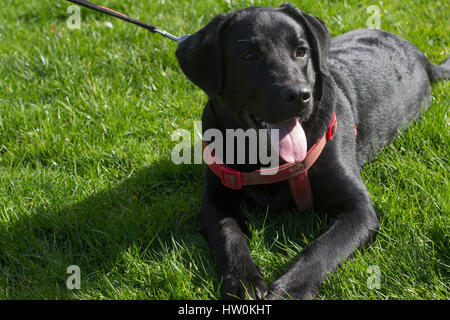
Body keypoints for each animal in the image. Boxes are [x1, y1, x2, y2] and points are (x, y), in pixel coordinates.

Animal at [175, 2, 446, 298]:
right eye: (248, 55)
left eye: (301, 51)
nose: (299, 95)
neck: (266, 157)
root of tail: (421, 56)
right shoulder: (215, 196)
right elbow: (228, 235)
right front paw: (242, 281)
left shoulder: (359, 210)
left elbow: (321, 250)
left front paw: (288, 291)